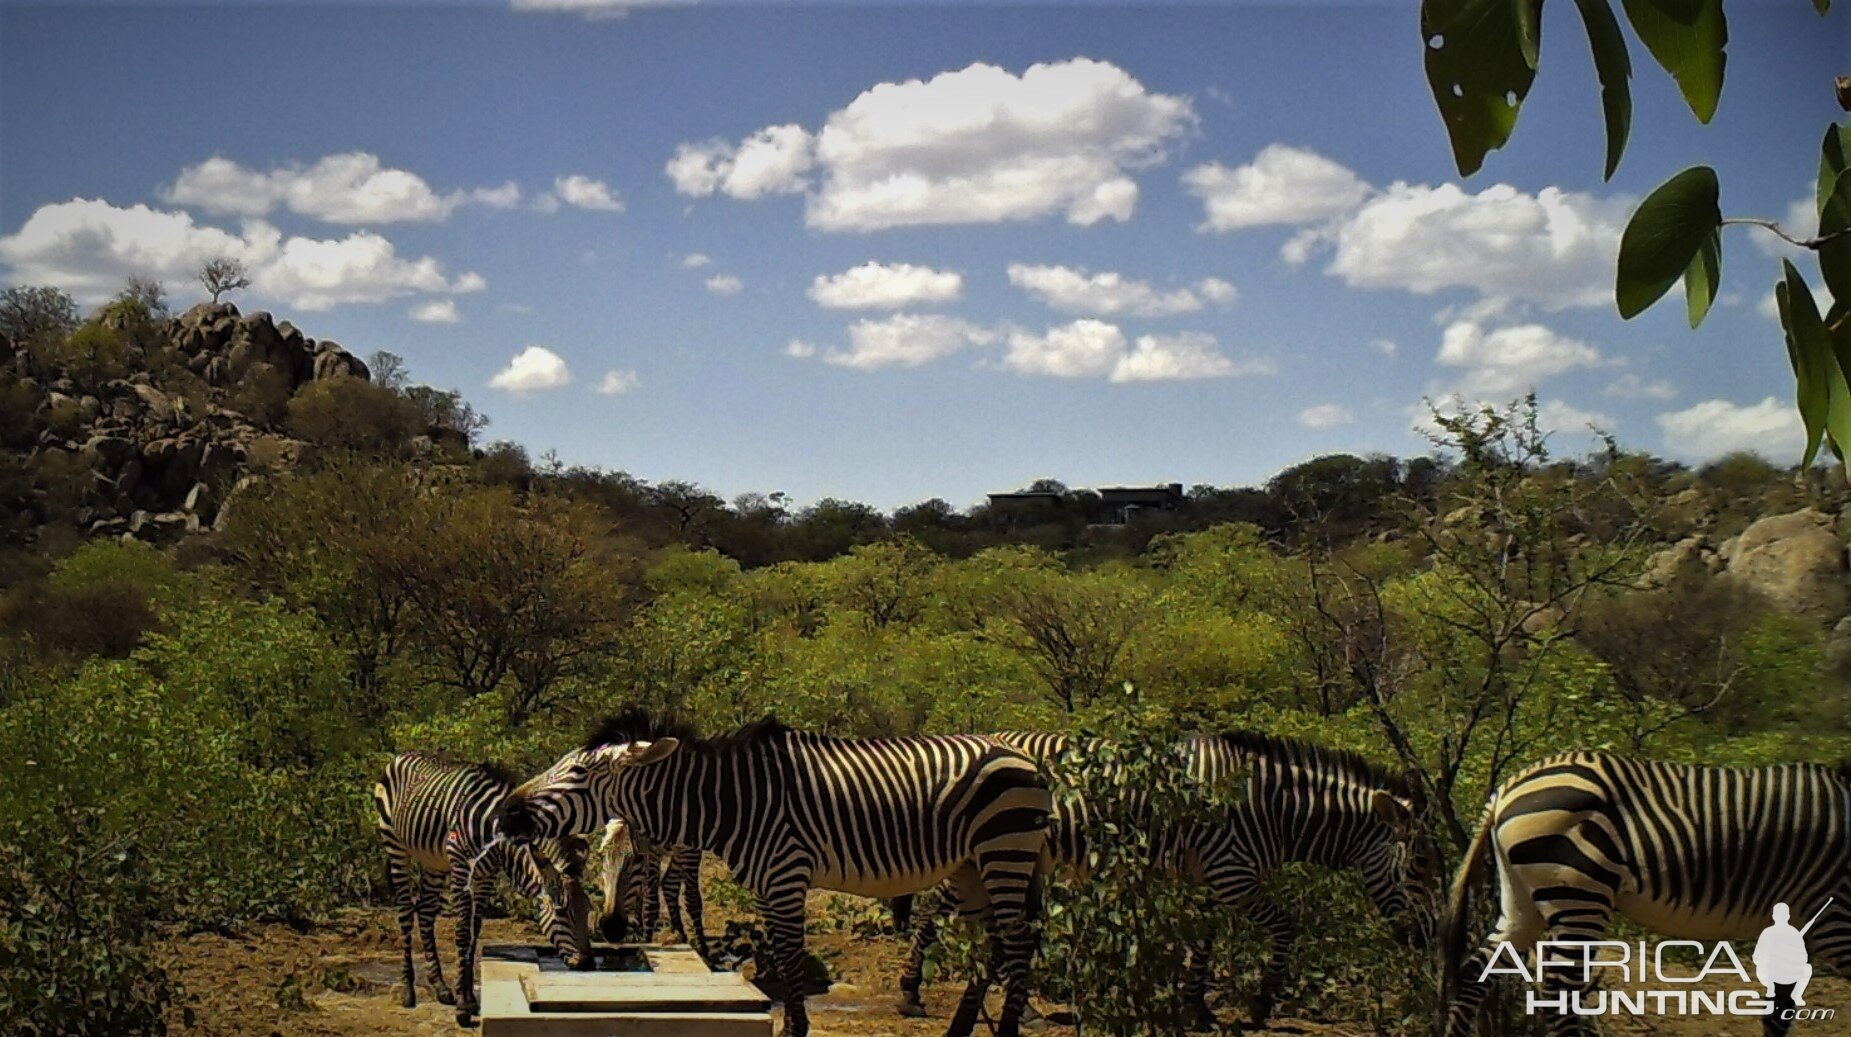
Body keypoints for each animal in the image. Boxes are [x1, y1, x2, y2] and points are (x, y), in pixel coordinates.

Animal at [377, 751, 599, 1029]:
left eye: (587, 909)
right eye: (561, 912)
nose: (588, 964)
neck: (494, 833)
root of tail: (402, 755)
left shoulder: (486, 877)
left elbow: (475, 931)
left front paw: (469, 998)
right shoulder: (461, 868)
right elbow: (463, 933)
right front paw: (463, 1008)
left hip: (434, 861)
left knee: (426, 911)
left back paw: (440, 987)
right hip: (395, 845)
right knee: (406, 912)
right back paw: (408, 991)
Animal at [492, 707, 1058, 1037]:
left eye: (577, 773)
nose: (506, 810)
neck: (730, 803)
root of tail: (1025, 758)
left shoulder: (785, 876)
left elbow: (787, 961)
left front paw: (792, 1030)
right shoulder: (767, 885)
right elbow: (781, 962)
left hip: (1004, 852)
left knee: (1016, 942)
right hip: (970, 866)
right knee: (993, 944)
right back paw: (958, 1031)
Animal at [888, 729, 1436, 1029]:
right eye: (1417, 869)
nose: (1425, 941)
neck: (1267, 806)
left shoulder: (1210, 876)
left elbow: (1204, 941)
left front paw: (1198, 1009)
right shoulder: (1232, 874)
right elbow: (1286, 926)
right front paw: (1259, 1005)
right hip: (996, 850)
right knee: (937, 906)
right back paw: (914, 991)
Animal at [1443, 751, 1851, 1037]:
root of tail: (1507, 788)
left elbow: (1778, 1011)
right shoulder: (1832, 915)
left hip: (1522, 899)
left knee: (1476, 972)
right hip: (1579, 892)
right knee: (1558, 994)